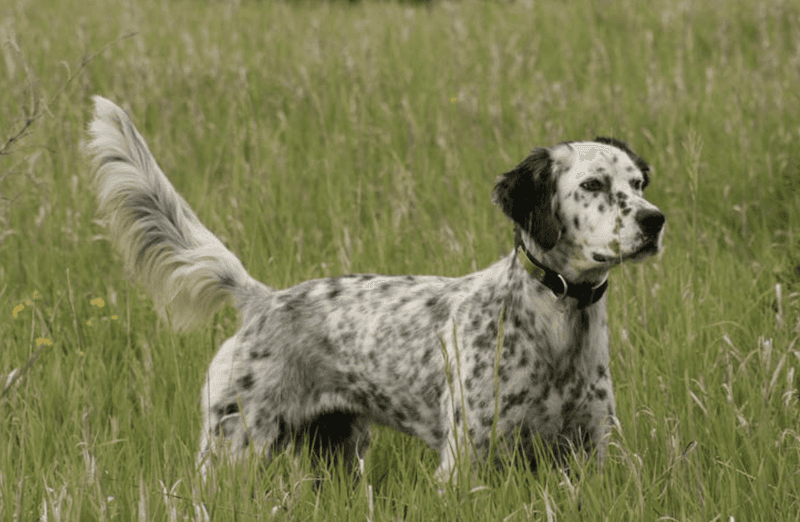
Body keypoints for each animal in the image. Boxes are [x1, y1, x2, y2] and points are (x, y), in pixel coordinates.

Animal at [84, 95, 664, 482]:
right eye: (592, 185)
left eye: (637, 184)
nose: (655, 220)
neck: (555, 326)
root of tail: (263, 300)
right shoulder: (467, 460)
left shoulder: (590, 451)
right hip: (233, 447)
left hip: (337, 451)